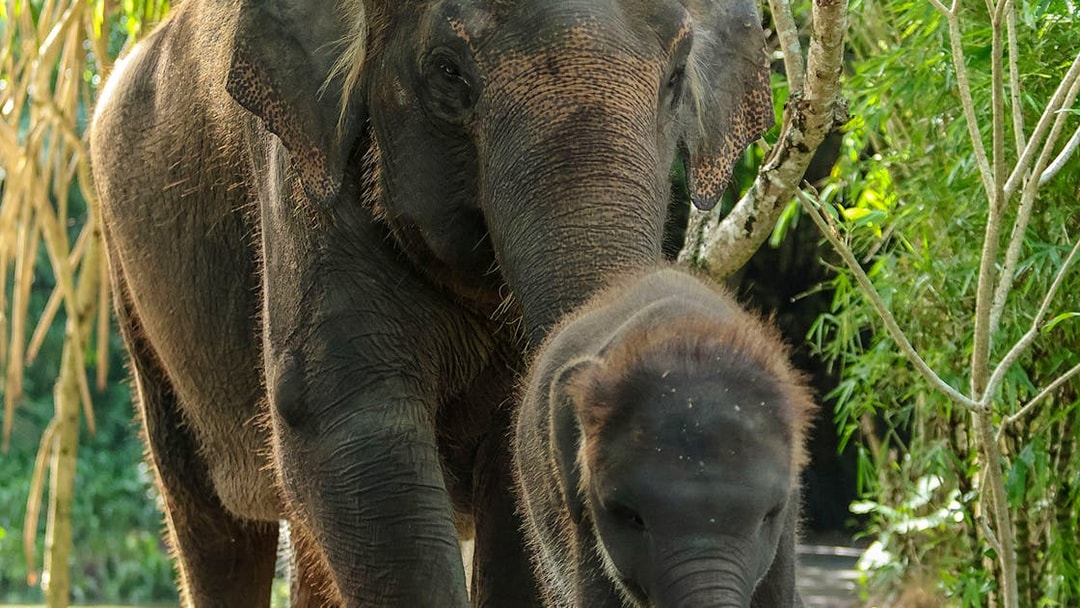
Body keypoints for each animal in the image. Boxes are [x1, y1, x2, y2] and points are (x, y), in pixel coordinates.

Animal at [88, 0, 773, 605]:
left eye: (677, 75)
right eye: (449, 70)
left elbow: (509, 466)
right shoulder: (302, 179)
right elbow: (349, 430)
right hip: (137, 295)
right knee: (214, 527)